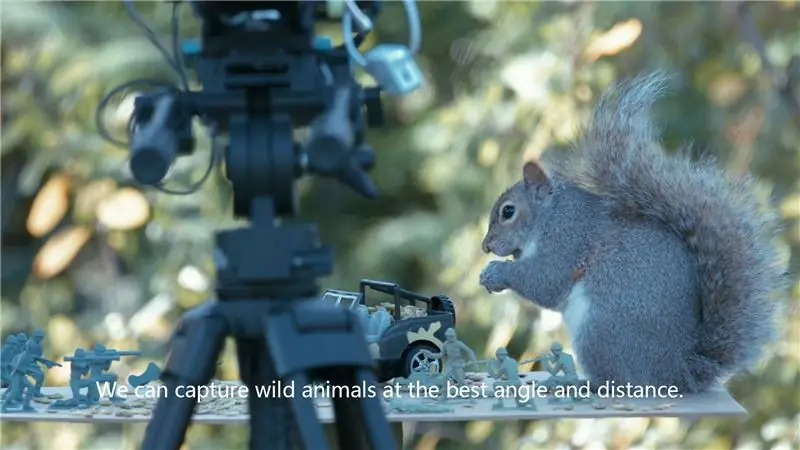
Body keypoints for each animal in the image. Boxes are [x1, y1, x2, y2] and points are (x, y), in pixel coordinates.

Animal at [476, 72, 788, 392]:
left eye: (508, 212)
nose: (486, 246)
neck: (549, 216)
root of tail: (676, 371)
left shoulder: (566, 240)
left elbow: (544, 280)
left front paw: (496, 272)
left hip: (599, 328)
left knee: (615, 380)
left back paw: (581, 383)